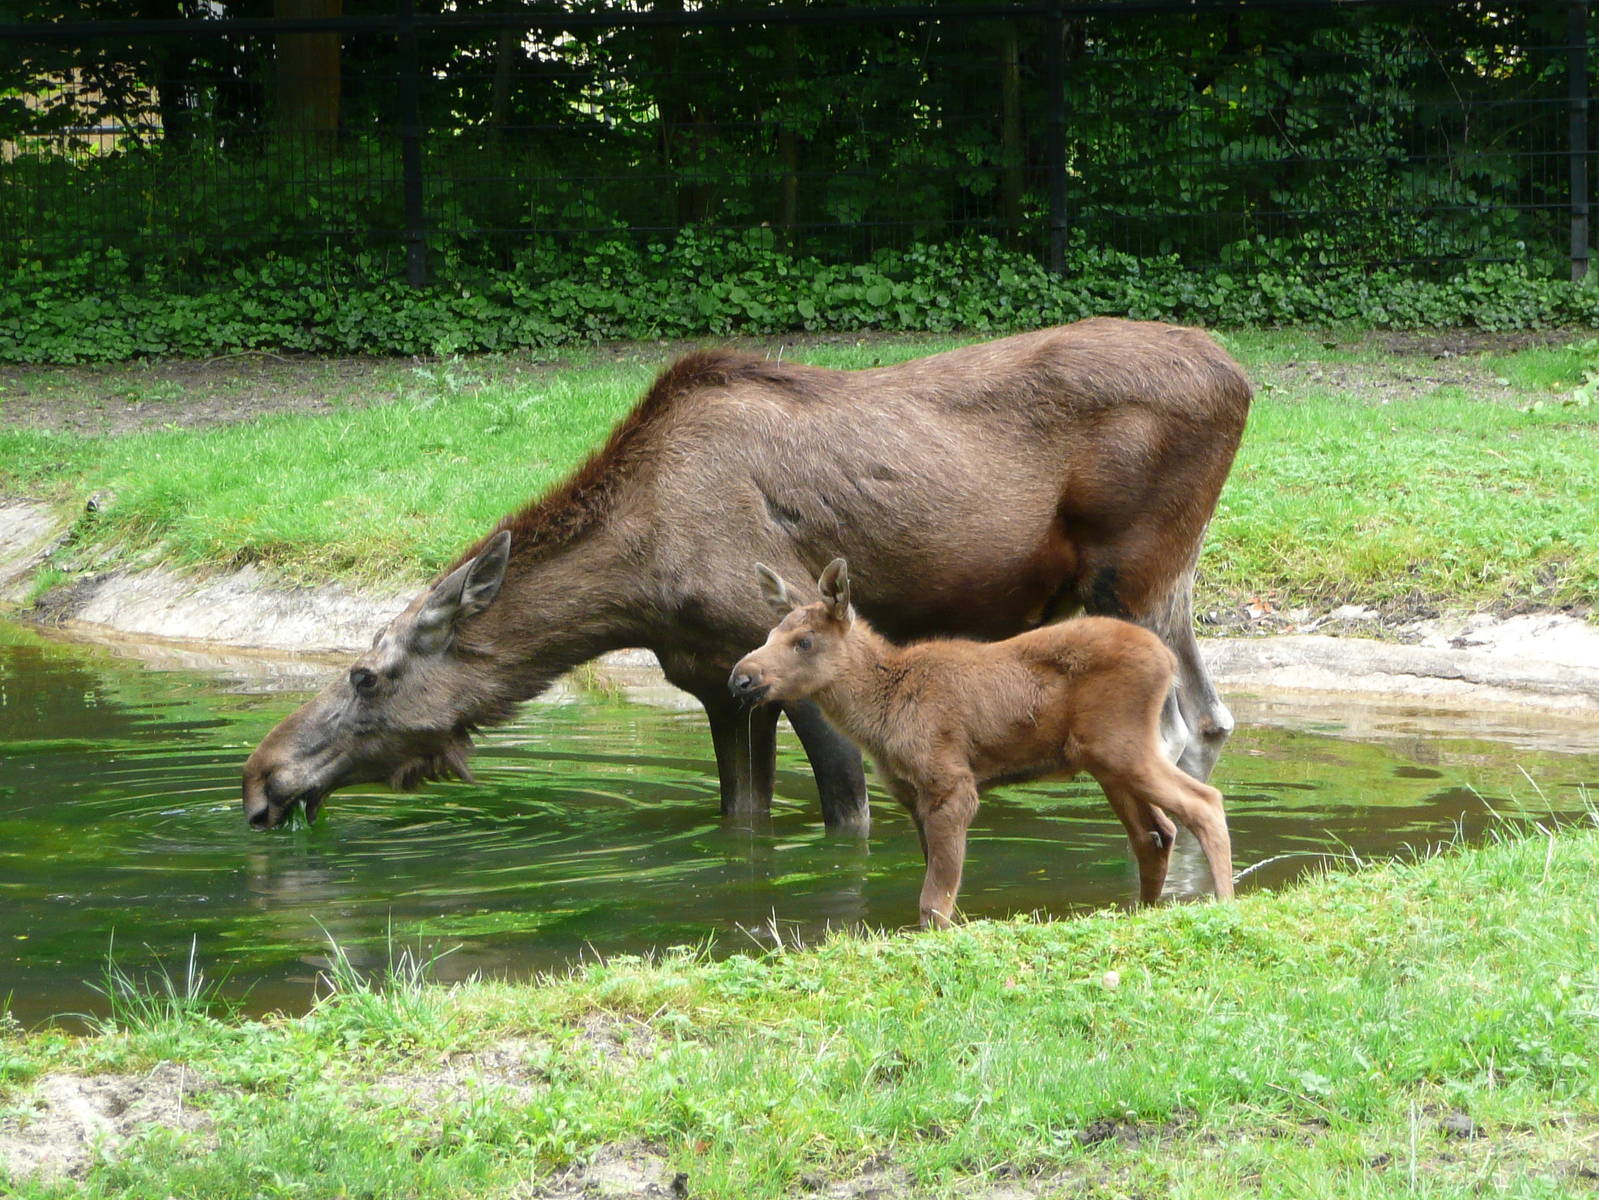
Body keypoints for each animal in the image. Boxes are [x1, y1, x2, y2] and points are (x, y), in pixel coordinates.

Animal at [729, 558, 1235, 928]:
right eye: (769, 634)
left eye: (804, 641)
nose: (741, 677)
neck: (878, 713)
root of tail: (1167, 661)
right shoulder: (912, 796)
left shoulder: (951, 783)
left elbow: (935, 900)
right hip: (1106, 760)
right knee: (1155, 833)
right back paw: (1145, 909)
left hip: (1122, 745)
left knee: (1203, 802)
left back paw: (1225, 901)